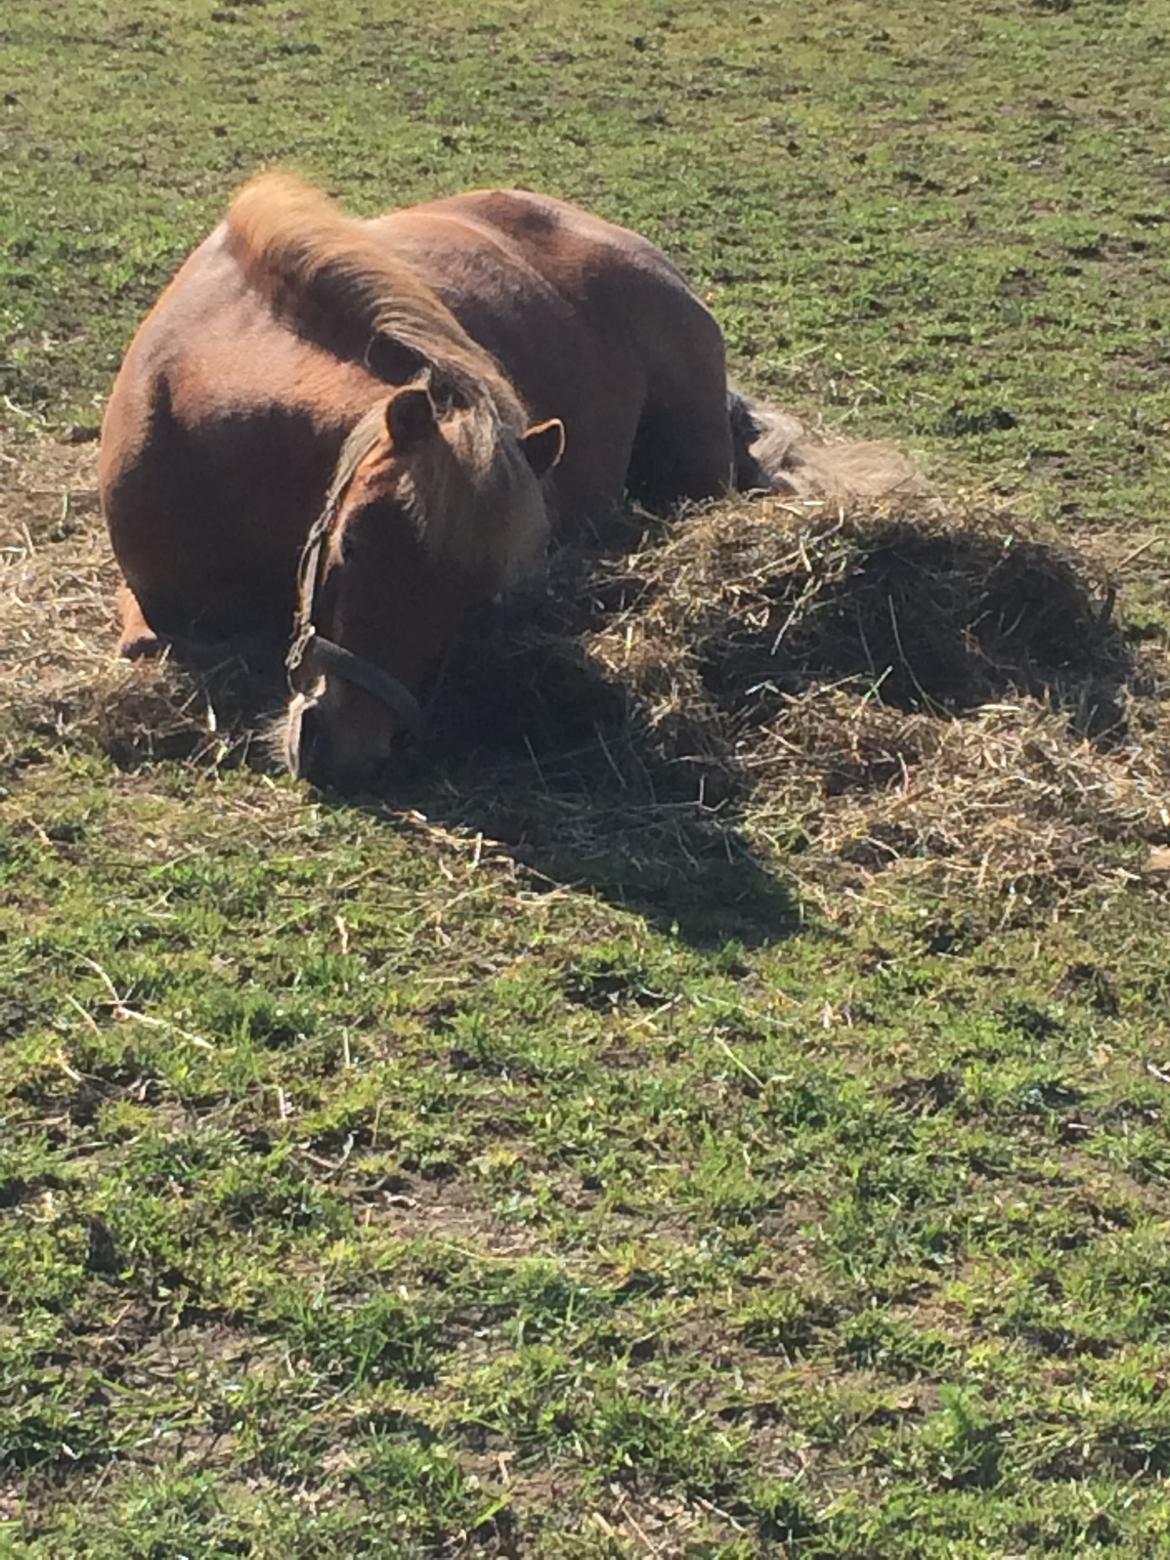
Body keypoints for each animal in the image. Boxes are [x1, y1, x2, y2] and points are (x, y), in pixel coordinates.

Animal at [98, 173, 904, 792]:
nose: (353, 748)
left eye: (475, 597)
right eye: (350, 547)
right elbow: (147, 645)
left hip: (696, 455)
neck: (201, 417)